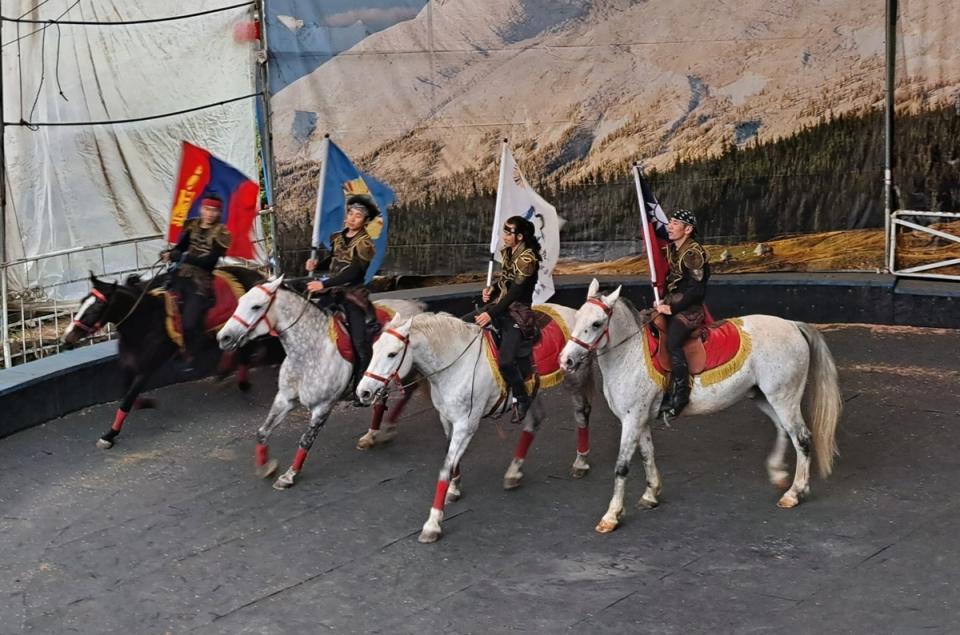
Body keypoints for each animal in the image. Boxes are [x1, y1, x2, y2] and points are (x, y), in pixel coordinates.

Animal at [219, 276, 430, 490]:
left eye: (256, 306)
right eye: (240, 301)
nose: (224, 337)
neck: (310, 352)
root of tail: (416, 306)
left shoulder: (323, 407)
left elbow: (306, 441)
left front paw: (289, 475)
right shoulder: (285, 398)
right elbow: (262, 431)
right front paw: (266, 467)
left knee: (408, 391)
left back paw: (388, 429)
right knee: (382, 400)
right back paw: (371, 435)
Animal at [356, 306, 596, 540]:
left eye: (392, 353)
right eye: (374, 348)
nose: (363, 392)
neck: (455, 363)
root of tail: (573, 312)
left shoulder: (466, 424)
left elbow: (445, 467)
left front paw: (433, 524)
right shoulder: (447, 419)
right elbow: (452, 459)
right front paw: (454, 488)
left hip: (573, 379)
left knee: (581, 414)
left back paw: (581, 462)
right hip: (531, 392)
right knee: (534, 421)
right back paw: (514, 472)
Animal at [556, 280, 840, 536]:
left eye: (596, 324)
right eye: (577, 317)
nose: (566, 360)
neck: (630, 354)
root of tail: (792, 325)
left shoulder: (631, 419)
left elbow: (622, 467)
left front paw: (611, 516)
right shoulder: (641, 419)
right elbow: (647, 455)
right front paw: (651, 494)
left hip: (784, 397)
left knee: (802, 438)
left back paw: (794, 493)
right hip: (764, 397)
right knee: (784, 430)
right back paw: (779, 473)